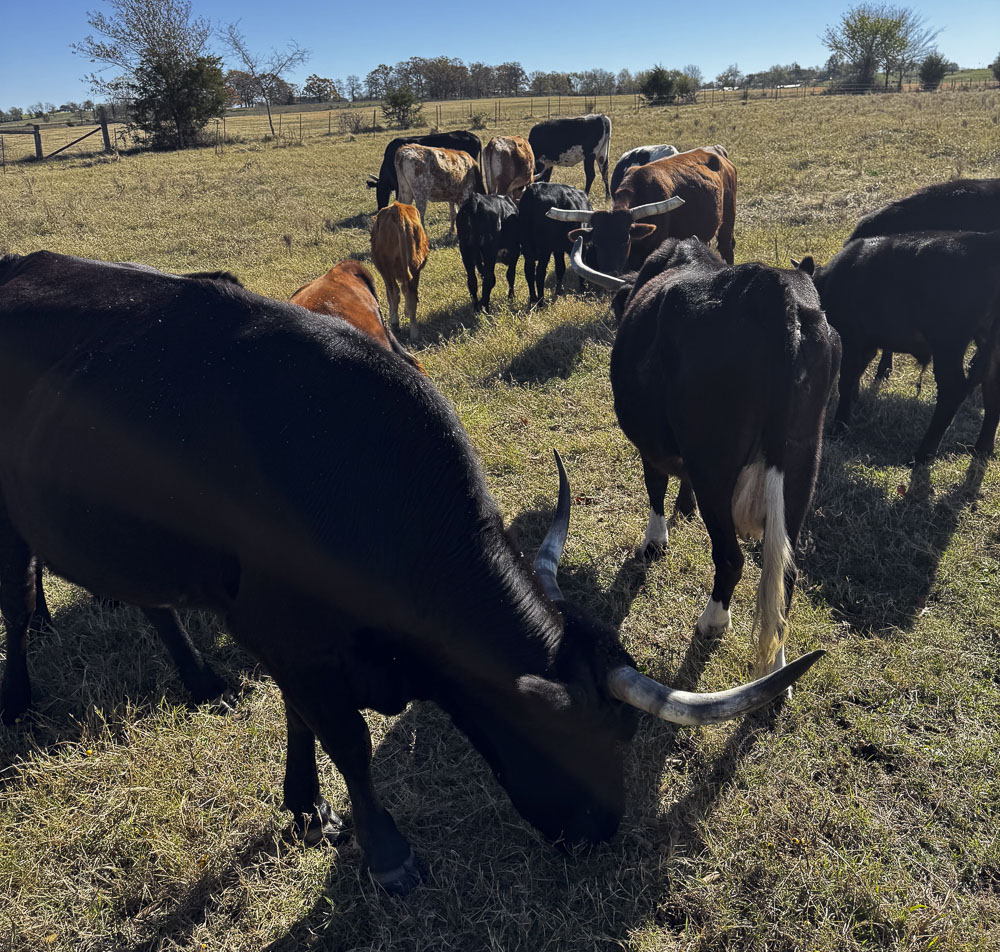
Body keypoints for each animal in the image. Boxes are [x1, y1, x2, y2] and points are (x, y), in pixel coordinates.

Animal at [370, 202, 431, 342]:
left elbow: (390, 295)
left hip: (387, 269)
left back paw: (395, 324)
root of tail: (398, 210)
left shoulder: (386, 273)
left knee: (395, 292)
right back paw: (414, 331)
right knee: (411, 294)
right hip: (415, 267)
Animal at [548, 148, 738, 279]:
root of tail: (717, 151)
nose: (609, 273)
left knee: (726, 248)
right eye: (596, 243)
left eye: (625, 241)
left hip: (728, 217)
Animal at [571, 237, 840, 679]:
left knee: (730, 558)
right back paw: (778, 668)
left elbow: (655, 485)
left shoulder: (651, 444)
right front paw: (685, 506)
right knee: (784, 574)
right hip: (803, 463)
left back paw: (712, 621)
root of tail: (775, 294)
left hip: (715, 466)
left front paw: (655, 540)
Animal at [797, 230, 1000, 463]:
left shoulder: (852, 338)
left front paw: (839, 427)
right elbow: (856, 376)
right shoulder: (867, 343)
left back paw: (923, 453)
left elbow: (846, 381)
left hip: (948, 342)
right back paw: (982, 448)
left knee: (953, 389)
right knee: (993, 386)